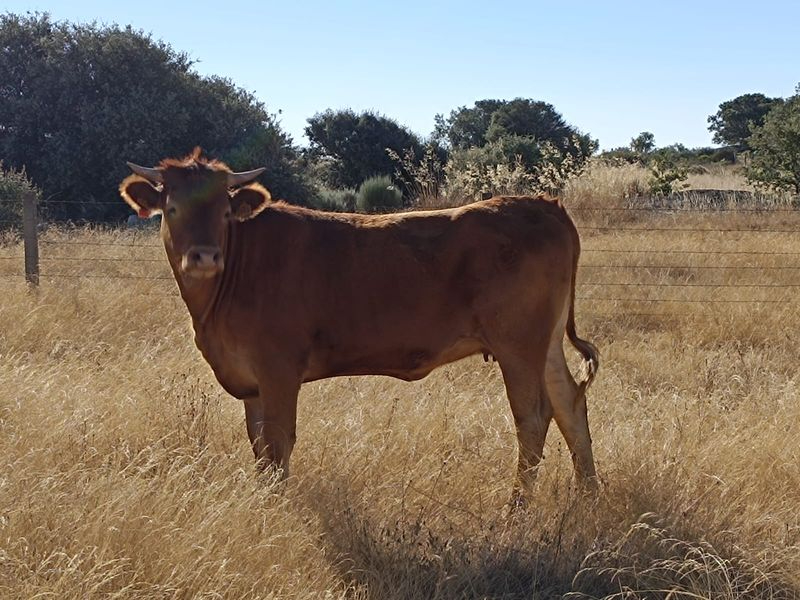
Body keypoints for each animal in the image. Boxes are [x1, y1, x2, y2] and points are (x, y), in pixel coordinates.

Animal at [119, 149, 599, 497]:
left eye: (223, 211)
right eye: (172, 208)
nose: (203, 256)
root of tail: (542, 204)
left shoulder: (278, 371)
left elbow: (277, 445)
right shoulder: (250, 381)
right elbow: (258, 449)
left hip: (517, 344)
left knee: (533, 418)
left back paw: (517, 507)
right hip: (545, 344)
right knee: (569, 403)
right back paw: (587, 496)